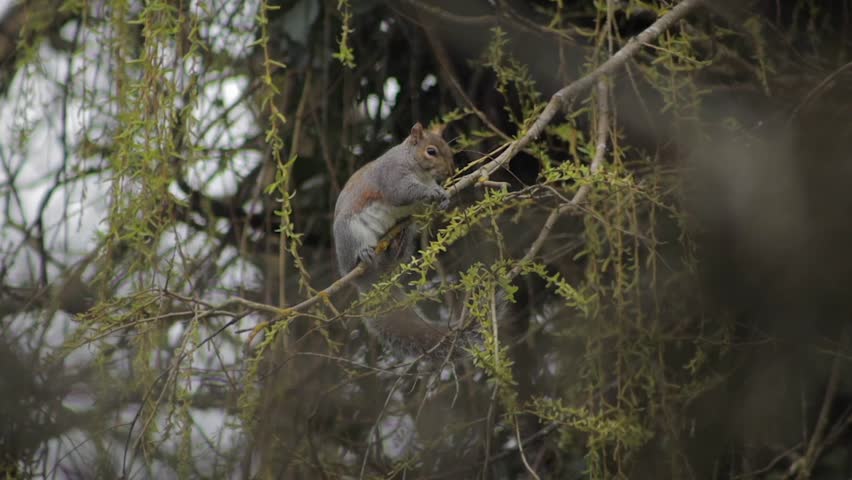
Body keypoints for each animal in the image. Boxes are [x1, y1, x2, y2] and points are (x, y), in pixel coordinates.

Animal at [333, 122, 472, 358]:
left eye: (448, 148)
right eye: (431, 151)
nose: (450, 171)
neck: (415, 166)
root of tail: (372, 277)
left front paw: (443, 196)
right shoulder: (392, 175)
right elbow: (402, 192)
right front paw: (433, 191)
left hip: (405, 235)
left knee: (398, 252)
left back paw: (398, 243)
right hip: (347, 232)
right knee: (353, 256)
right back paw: (362, 255)